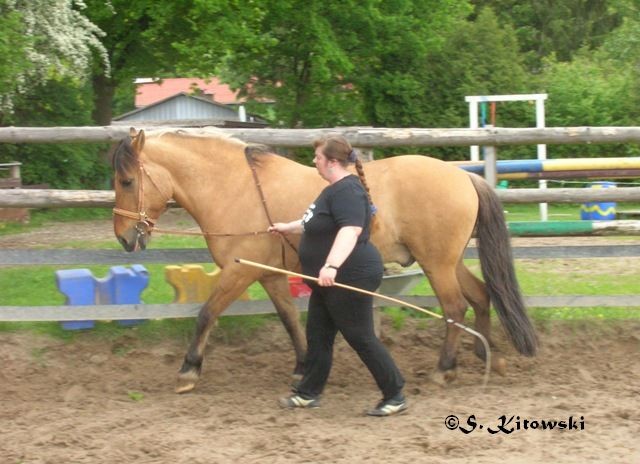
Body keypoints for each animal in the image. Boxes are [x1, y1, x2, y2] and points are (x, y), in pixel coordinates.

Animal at [112, 126, 536, 392]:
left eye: (127, 181)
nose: (124, 236)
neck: (234, 187)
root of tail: (463, 176)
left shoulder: (238, 273)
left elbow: (206, 314)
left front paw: (188, 370)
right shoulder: (270, 276)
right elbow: (289, 321)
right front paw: (304, 368)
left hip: (436, 264)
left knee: (454, 307)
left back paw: (444, 370)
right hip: (448, 261)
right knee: (480, 296)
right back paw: (489, 355)